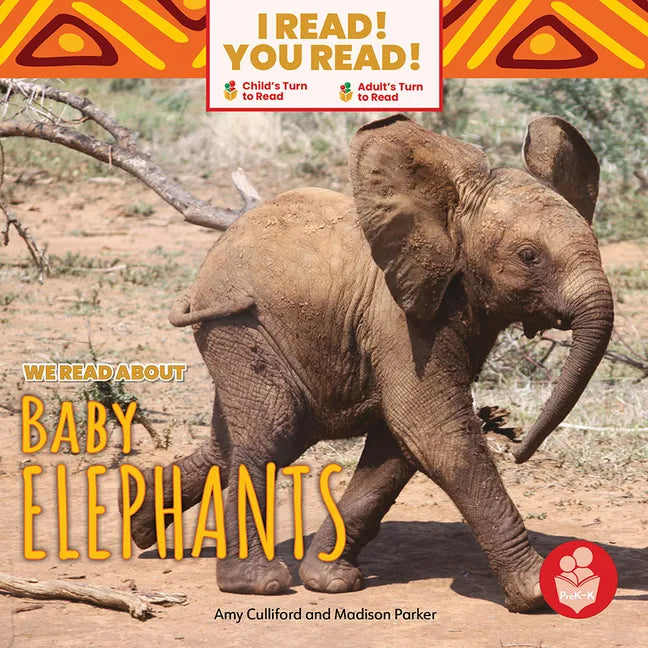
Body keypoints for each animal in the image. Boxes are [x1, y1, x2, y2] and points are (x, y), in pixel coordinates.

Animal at [124, 114, 613, 612]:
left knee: (243, 440)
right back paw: (257, 583)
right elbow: (432, 429)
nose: (515, 443)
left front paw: (330, 580)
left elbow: (399, 442)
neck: (448, 215)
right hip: (237, 324)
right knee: (272, 431)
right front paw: (537, 591)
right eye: (529, 257)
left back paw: (141, 522)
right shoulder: (398, 319)